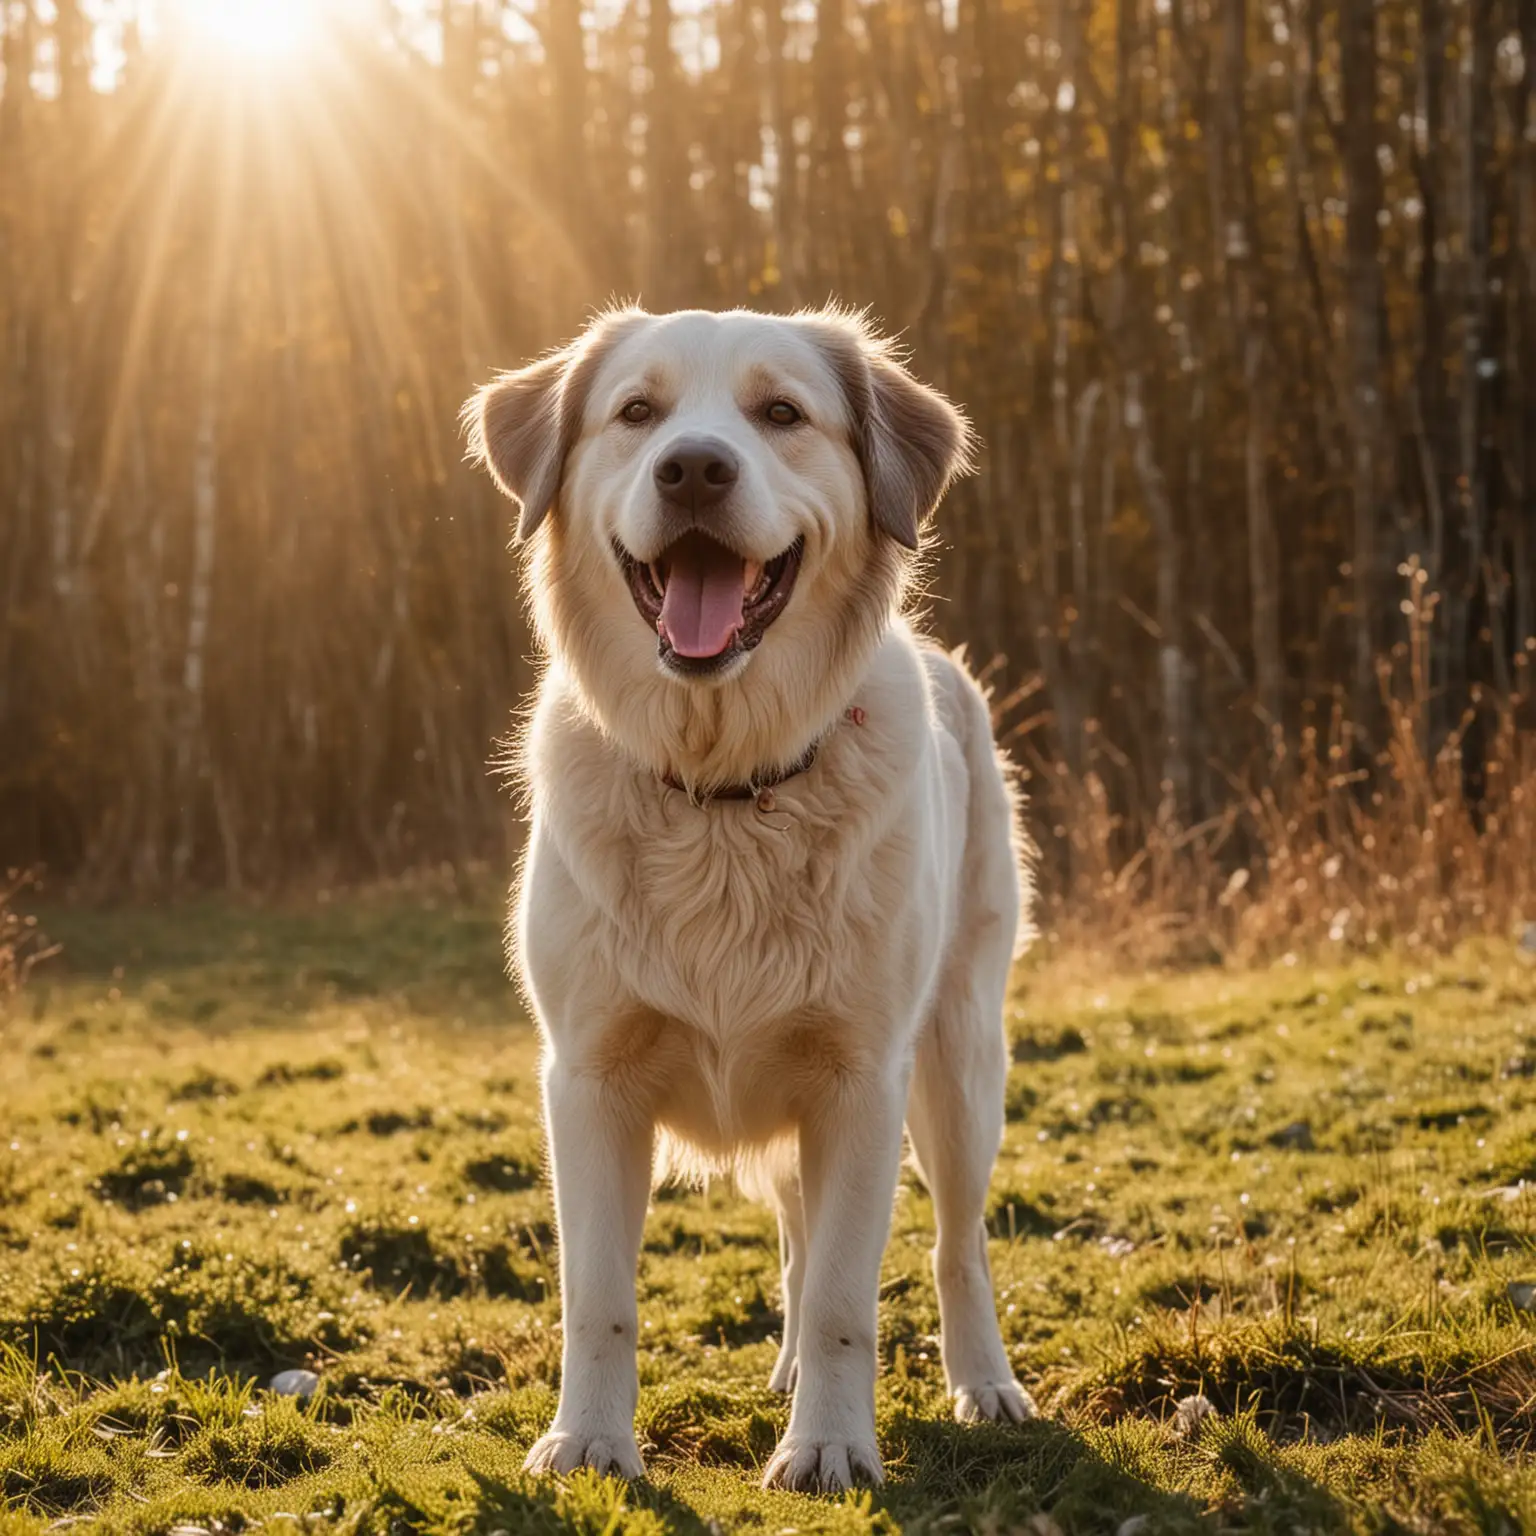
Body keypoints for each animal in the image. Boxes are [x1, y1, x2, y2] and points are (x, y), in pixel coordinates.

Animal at [460, 305, 1038, 1492]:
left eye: (781, 413)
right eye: (638, 412)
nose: (692, 468)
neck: (724, 790)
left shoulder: (861, 1080)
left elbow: (846, 1300)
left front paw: (828, 1447)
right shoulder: (588, 1082)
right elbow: (600, 1299)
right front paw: (589, 1443)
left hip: (961, 1065)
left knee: (955, 1245)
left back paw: (984, 1384)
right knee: (802, 1234)